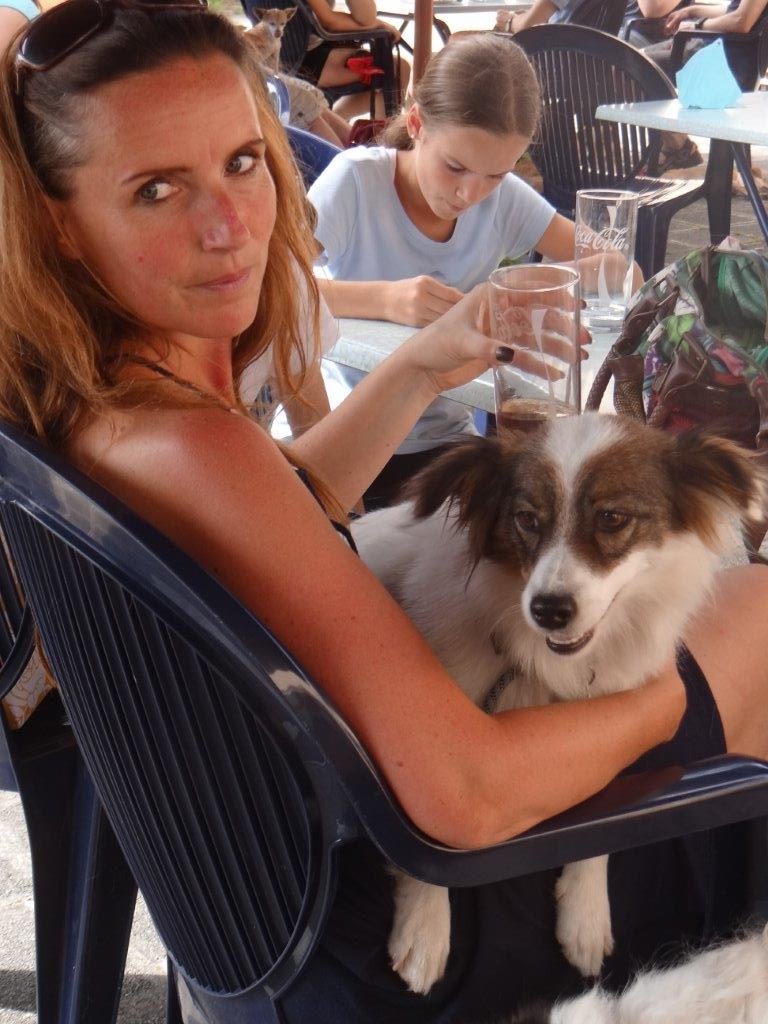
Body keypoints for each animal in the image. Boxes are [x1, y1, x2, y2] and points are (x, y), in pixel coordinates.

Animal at [351, 412, 764, 996]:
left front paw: (586, 916)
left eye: (612, 518)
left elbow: (602, 819)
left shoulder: (616, 718)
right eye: (526, 519)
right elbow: (426, 844)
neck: (546, 664)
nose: (547, 610)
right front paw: (426, 927)